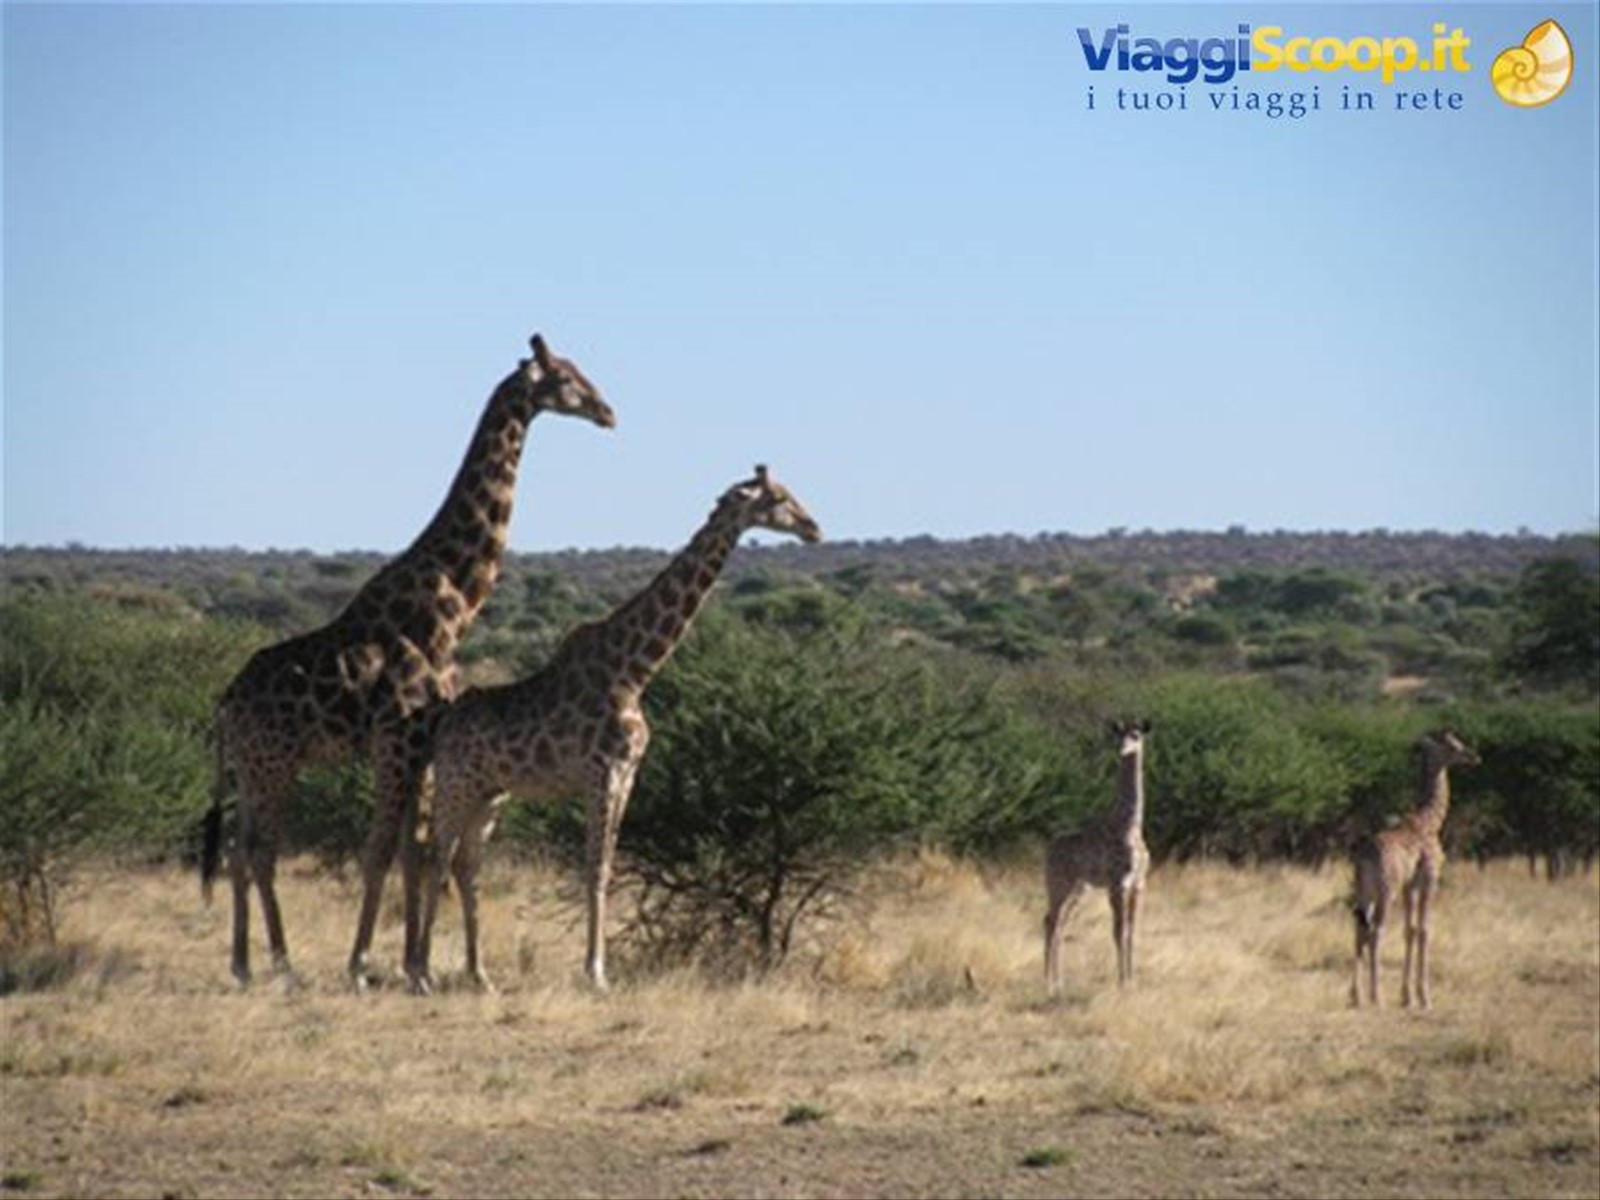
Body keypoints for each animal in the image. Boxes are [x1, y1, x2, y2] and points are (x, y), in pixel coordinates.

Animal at [200, 334, 615, 988]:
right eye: (568, 377)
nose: (608, 412)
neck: (456, 600)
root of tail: (223, 705)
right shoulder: (398, 740)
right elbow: (383, 852)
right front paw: (365, 965)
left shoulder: (421, 744)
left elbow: (411, 853)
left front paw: (411, 966)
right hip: (272, 764)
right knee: (256, 851)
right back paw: (277, 964)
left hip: (257, 766)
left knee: (243, 851)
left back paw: (251, 963)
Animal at [410, 465, 822, 994]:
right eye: (779, 498)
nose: (814, 528)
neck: (635, 671)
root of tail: (442, 723)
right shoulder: (601, 773)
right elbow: (595, 868)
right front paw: (596, 972)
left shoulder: (627, 775)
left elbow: (605, 866)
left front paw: (597, 968)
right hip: (456, 783)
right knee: (436, 857)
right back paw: (422, 973)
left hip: (491, 793)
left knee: (466, 866)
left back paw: (479, 975)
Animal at [1044, 719, 1152, 996]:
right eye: (1118, 734)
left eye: (1136, 735)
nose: (1122, 748)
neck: (1131, 827)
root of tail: (1047, 849)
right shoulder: (1116, 883)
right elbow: (1118, 930)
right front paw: (1122, 982)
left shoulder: (1138, 884)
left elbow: (1132, 931)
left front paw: (1132, 980)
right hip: (1058, 884)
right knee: (1050, 921)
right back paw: (1048, 983)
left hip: (1079, 889)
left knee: (1059, 923)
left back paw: (1058, 982)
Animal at [1350, 729, 1480, 1009]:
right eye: (1453, 746)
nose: (1474, 756)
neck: (1430, 821)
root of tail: (1364, 856)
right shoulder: (1429, 879)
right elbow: (1424, 930)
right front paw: (1424, 997)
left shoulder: (1409, 886)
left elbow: (1409, 930)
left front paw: (1406, 996)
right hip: (1386, 890)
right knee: (1376, 931)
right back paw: (1377, 997)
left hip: (1363, 891)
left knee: (1359, 930)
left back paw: (1355, 996)